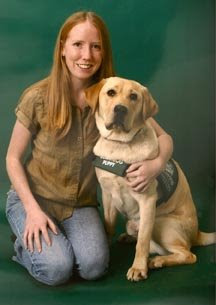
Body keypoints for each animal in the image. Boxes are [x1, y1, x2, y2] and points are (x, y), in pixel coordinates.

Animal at [85, 76, 216, 280]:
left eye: (133, 97)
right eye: (111, 93)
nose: (120, 109)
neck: (119, 147)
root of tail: (197, 234)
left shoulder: (146, 200)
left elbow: (143, 241)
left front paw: (138, 268)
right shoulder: (107, 196)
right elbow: (108, 226)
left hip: (162, 223)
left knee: (187, 254)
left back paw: (157, 261)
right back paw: (131, 239)